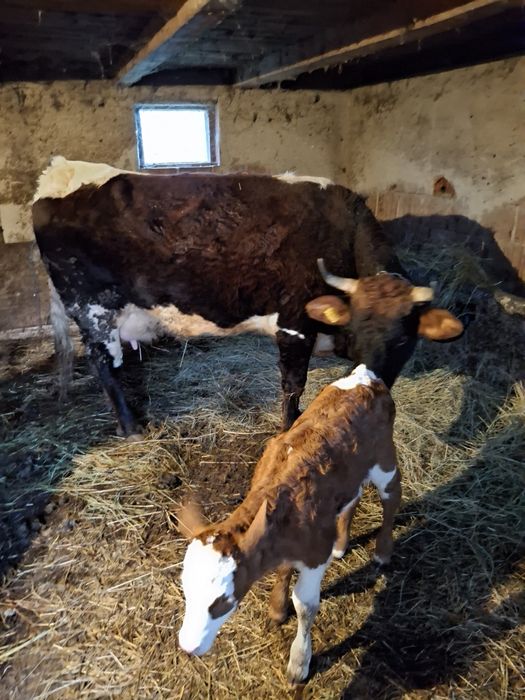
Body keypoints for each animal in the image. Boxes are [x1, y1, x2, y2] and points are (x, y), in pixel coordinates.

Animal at [32, 157, 463, 437]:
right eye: (358, 330)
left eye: (404, 340)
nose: (373, 388)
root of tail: (60, 170)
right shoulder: (294, 324)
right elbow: (293, 385)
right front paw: (289, 427)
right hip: (93, 308)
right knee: (105, 366)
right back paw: (131, 427)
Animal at [178, 362, 400, 684]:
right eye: (185, 590)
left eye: (222, 601)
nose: (187, 646)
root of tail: (365, 377)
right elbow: (283, 571)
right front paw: (277, 609)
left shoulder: (314, 555)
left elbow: (306, 606)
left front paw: (299, 662)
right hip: (350, 471)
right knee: (352, 497)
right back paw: (340, 544)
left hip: (384, 459)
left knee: (392, 496)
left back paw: (383, 552)